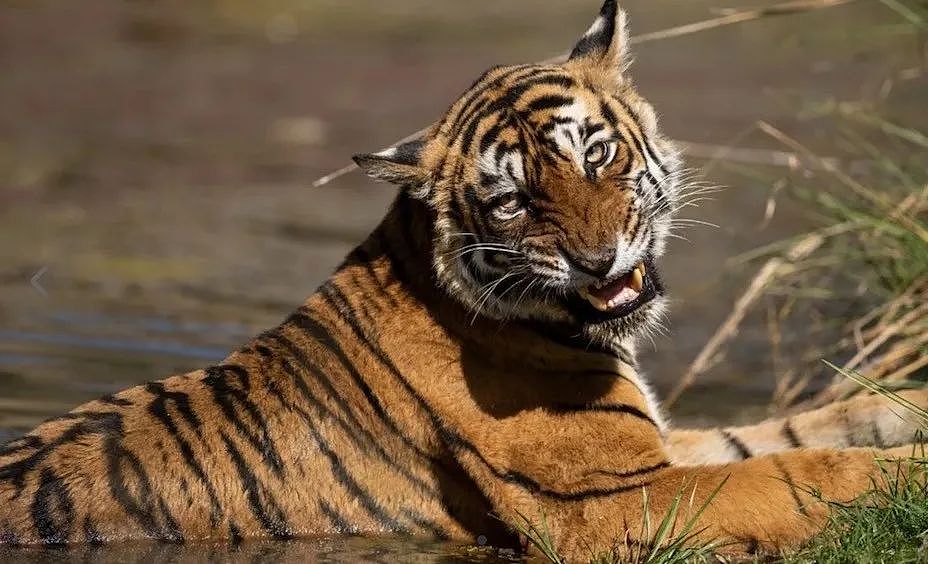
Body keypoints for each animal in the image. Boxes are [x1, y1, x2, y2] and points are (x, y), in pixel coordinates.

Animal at [1, 1, 926, 560]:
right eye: (512, 202)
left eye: (596, 155)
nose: (598, 262)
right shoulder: (612, 498)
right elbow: (804, 472)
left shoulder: (655, 449)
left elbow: (794, 431)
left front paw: (902, 410)